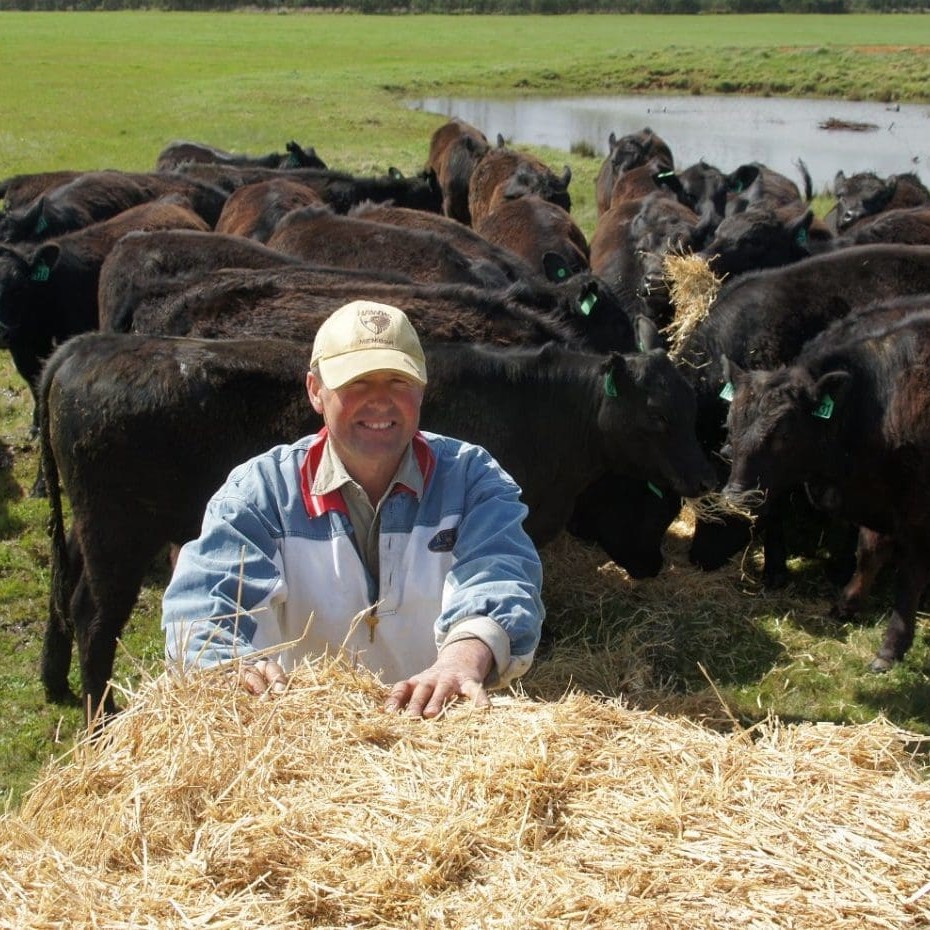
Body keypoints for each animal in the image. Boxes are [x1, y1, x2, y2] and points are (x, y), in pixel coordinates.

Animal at [720, 300, 930, 672]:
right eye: (730, 423)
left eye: (784, 433)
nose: (736, 496)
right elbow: (869, 552)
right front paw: (846, 604)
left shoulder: (916, 511)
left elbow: (910, 576)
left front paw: (890, 648)